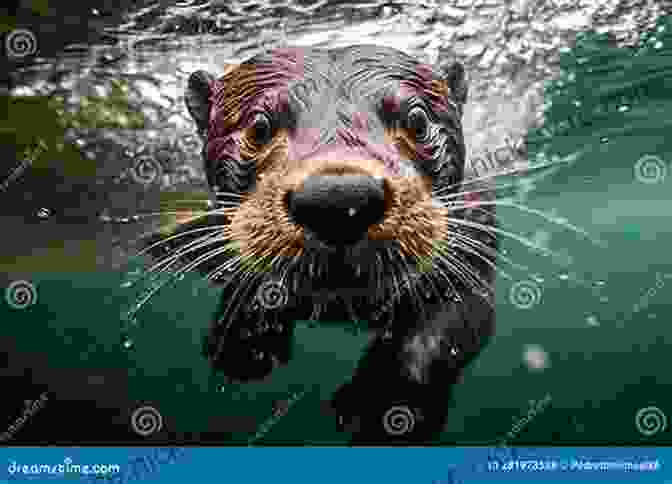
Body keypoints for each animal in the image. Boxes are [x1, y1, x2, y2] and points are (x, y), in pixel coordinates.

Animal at [178, 45, 498, 442]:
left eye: (417, 121)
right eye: (259, 127)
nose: (339, 197)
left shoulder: (475, 245)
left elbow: (448, 329)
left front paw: (387, 406)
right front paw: (244, 342)